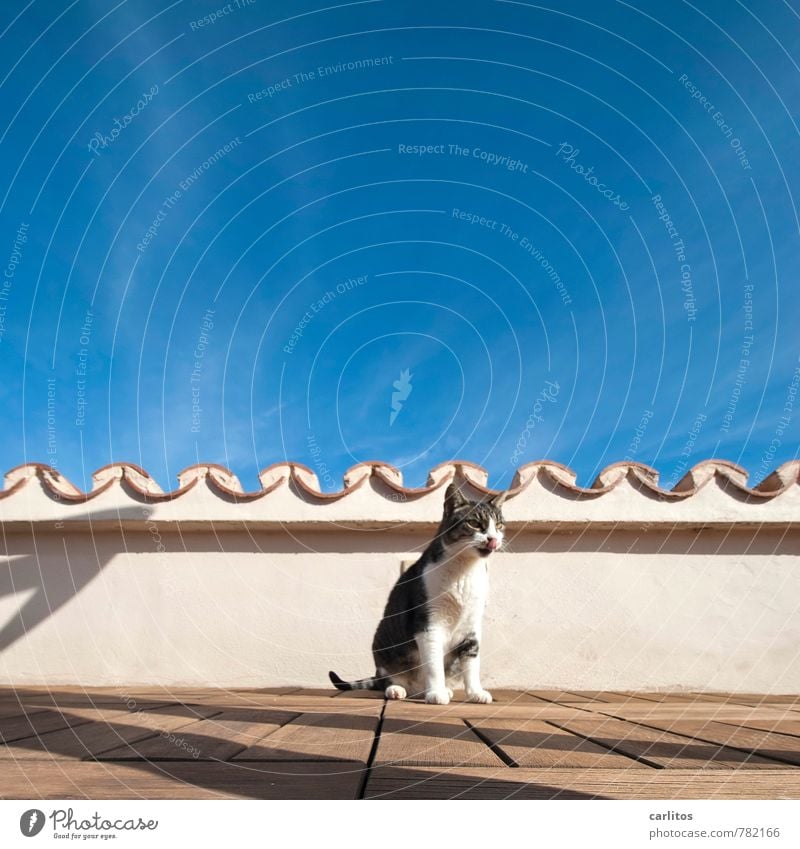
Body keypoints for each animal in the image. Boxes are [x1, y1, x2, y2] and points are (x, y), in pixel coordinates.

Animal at [326, 480, 506, 704]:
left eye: (499, 525)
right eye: (474, 523)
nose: (493, 539)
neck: (465, 571)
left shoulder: (472, 625)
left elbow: (472, 663)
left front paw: (476, 693)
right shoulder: (428, 623)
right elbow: (434, 664)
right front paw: (436, 693)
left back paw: (443, 690)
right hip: (383, 645)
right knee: (387, 678)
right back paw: (398, 689)